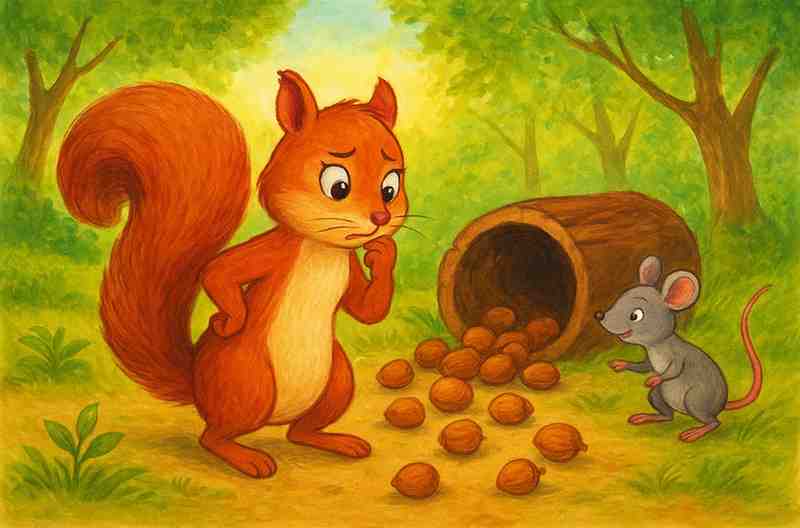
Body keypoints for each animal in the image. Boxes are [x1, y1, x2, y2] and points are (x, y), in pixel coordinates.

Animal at [57, 70, 407, 478]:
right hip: (247, 382)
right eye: (338, 186)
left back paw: (336, 441)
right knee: (212, 436)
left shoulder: (347, 266)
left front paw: (384, 253)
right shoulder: (273, 251)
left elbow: (368, 311)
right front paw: (230, 320)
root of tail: (197, 385)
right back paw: (246, 457)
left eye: (391, 187)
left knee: (299, 432)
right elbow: (219, 271)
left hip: (337, 383)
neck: (323, 248)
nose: (380, 218)